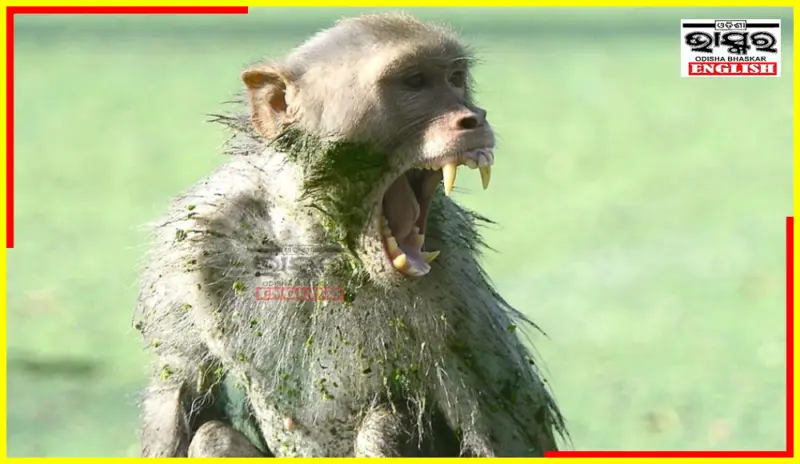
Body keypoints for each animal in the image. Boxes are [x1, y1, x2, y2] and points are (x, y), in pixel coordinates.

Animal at [134, 12, 568, 458]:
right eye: (414, 81)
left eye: (455, 78)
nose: (473, 117)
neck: (316, 242)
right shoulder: (189, 244)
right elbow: (179, 386)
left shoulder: (451, 270)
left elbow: (503, 428)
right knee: (211, 437)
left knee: (381, 426)